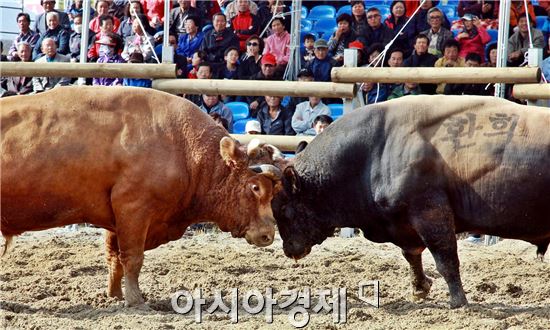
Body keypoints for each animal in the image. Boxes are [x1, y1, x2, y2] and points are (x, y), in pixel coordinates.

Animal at [0, 85, 282, 306]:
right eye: (255, 187)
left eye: (275, 191)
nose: (268, 234)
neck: (182, 148)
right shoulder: (134, 210)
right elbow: (132, 258)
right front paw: (135, 300)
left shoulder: (115, 219)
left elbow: (114, 258)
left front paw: (114, 295)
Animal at [274, 94, 550, 308]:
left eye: (285, 209)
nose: (289, 249)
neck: (375, 150)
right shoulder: (404, 224)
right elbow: (412, 255)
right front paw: (420, 288)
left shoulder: (430, 213)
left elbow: (446, 260)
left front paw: (458, 301)